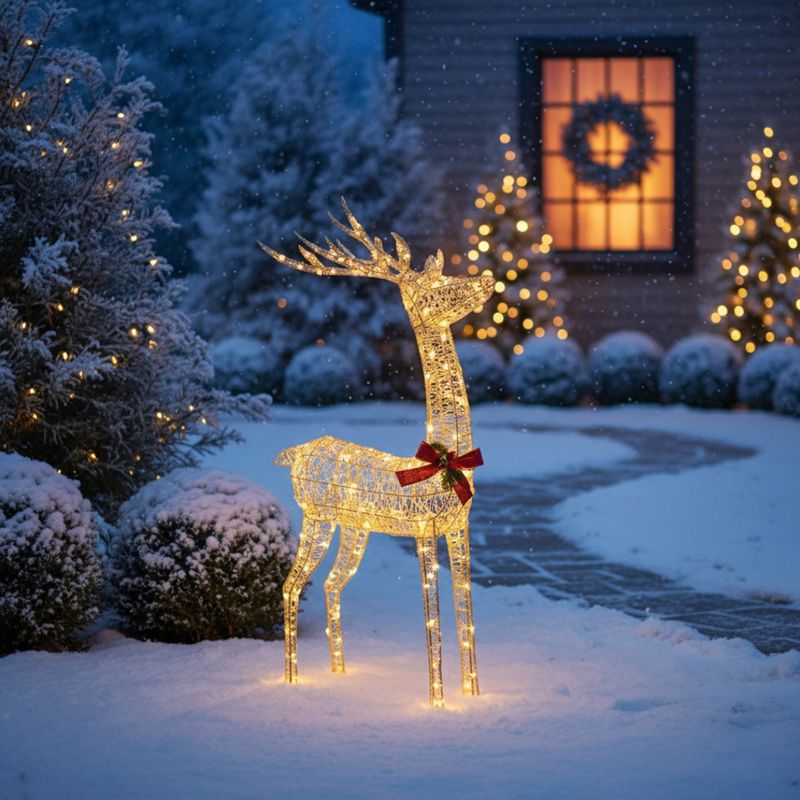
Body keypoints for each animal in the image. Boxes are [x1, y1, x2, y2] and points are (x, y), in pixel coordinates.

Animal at [260, 200, 494, 707]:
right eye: (433, 287)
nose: (486, 279)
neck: (444, 460)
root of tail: (296, 452)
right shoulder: (424, 531)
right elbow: (434, 621)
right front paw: (438, 702)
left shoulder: (460, 529)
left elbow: (466, 612)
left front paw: (474, 695)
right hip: (316, 518)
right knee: (290, 585)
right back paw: (290, 680)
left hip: (355, 529)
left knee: (330, 585)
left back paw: (340, 673)